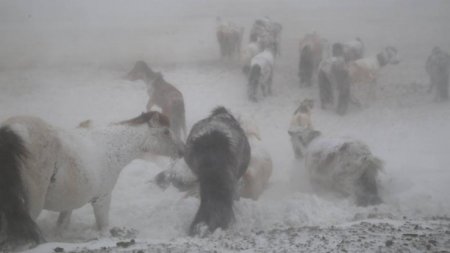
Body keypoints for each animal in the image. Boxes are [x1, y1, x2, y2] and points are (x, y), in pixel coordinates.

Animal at [0, 111, 185, 250]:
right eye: (166, 131)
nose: (182, 150)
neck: (111, 147)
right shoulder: (102, 199)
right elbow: (103, 228)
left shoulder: (69, 204)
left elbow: (61, 226)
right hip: (32, 204)